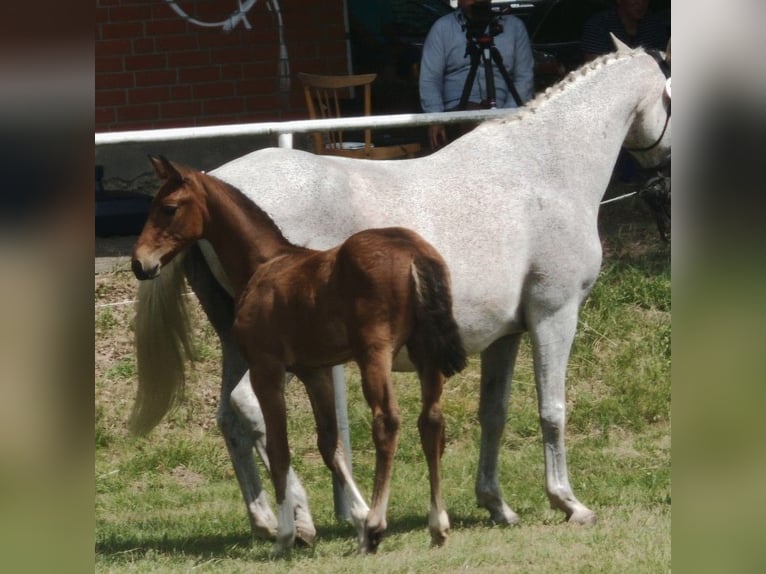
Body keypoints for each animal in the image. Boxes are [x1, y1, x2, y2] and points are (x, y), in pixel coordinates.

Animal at [131, 155, 467, 553]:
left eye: (168, 208)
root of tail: (414, 253)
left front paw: (288, 535)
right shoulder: (315, 372)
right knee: (431, 421)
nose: (140, 263)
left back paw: (375, 525)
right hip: (426, 353)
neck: (265, 263)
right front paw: (353, 517)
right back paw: (437, 525)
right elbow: (329, 445)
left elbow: (280, 449)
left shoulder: (267, 369)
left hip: (375, 353)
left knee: (387, 422)